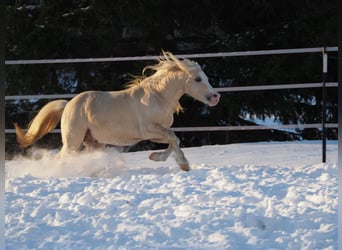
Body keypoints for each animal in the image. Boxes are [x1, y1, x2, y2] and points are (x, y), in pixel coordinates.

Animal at [14, 51, 219, 171]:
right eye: (198, 79)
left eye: (206, 77)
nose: (215, 97)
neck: (158, 96)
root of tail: (68, 104)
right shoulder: (149, 130)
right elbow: (174, 138)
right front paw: (184, 164)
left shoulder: (158, 132)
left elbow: (173, 140)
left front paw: (156, 157)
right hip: (73, 140)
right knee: (62, 158)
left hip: (93, 142)